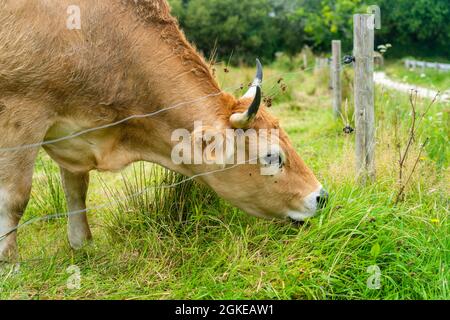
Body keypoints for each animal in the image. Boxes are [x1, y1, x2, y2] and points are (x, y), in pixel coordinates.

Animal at [0, 0, 326, 260]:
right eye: (271, 156)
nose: (321, 196)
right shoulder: (22, 113)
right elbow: (15, 198)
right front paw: (10, 264)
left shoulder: (74, 137)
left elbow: (76, 191)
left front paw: (83, 245)